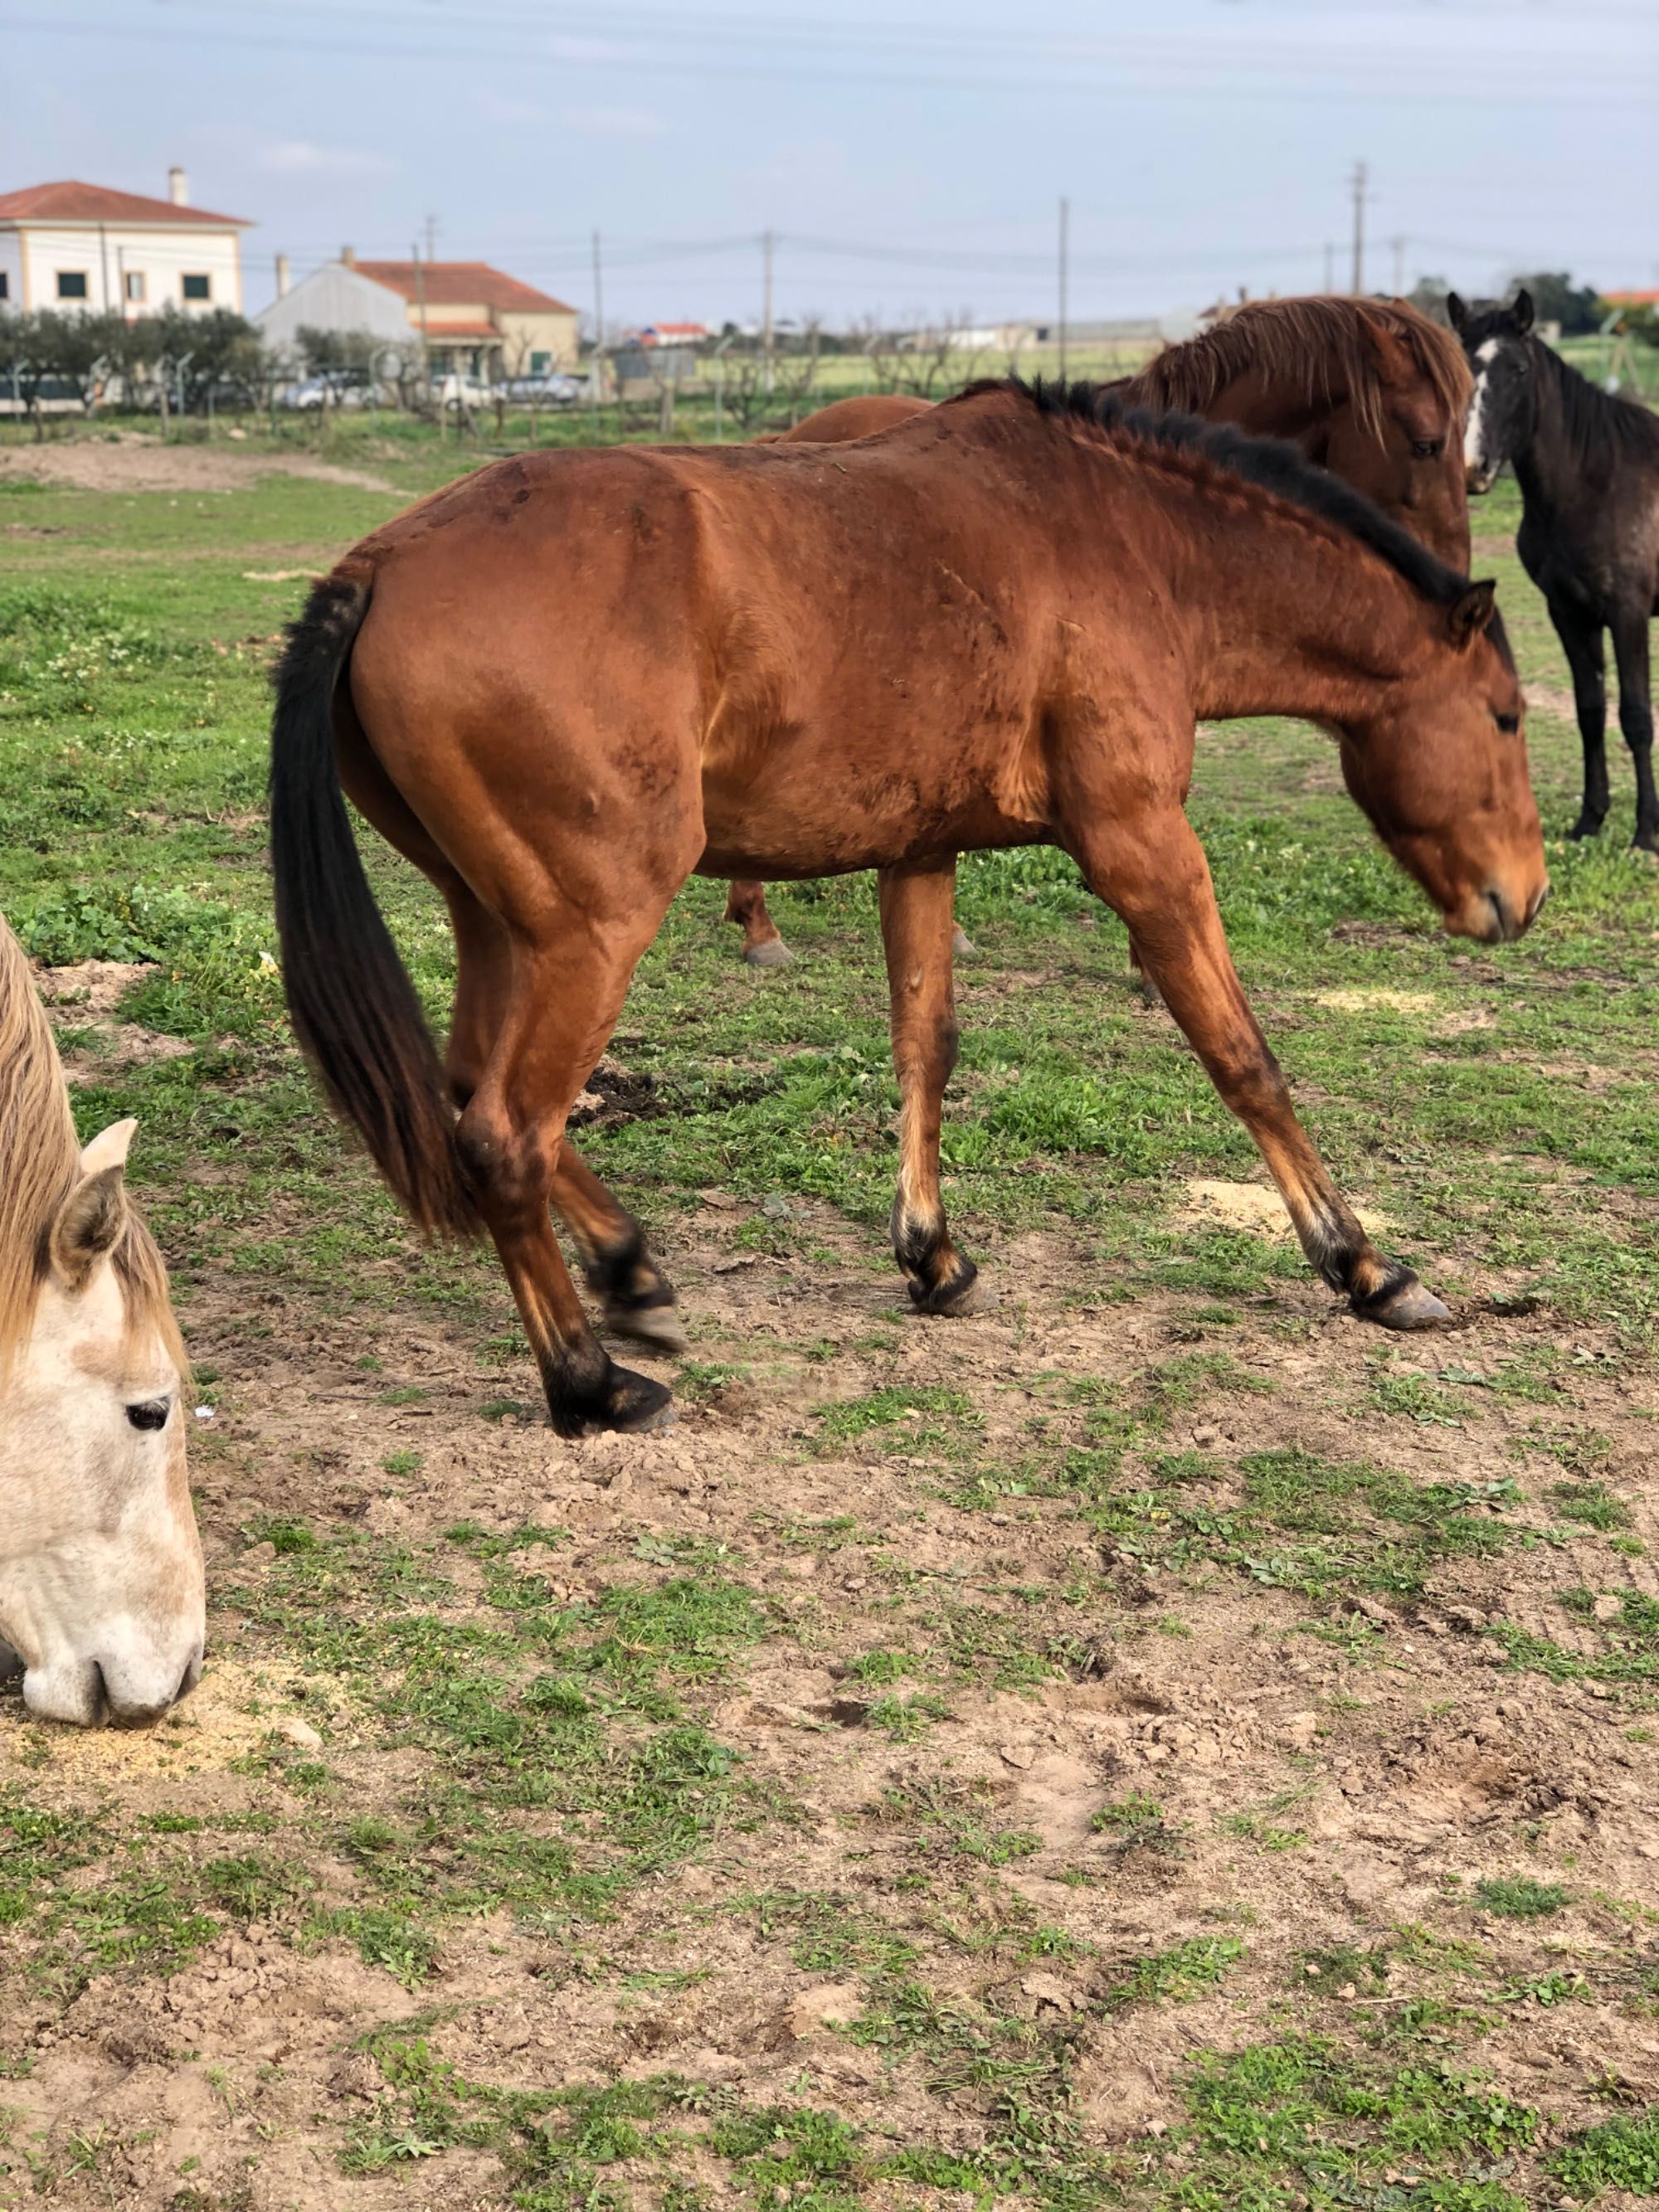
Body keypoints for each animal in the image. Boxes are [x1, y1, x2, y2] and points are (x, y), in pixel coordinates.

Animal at [273, 380, 1548, 1433]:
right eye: (1505, 716)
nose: (1522, 898)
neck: (1125, 538)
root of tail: (379, 566)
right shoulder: (1142, 847)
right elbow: (1245, 1060)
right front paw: (1365, 1267)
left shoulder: (922, 854)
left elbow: (924, 1047)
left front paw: (932, 1255)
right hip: (591, 933)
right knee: (505, 1134)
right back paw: (589, 1383)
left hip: (501, 925)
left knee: (467, 1093)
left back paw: (631, 1273)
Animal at [1451, 287, 1659, 853]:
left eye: (1519, 370)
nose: (1473, 468)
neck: (1596, 483)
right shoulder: (1568, 613)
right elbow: (1590, 711)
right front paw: (1590, 819)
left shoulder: (1628, 614)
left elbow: (1636, 716)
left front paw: (1646, 834)